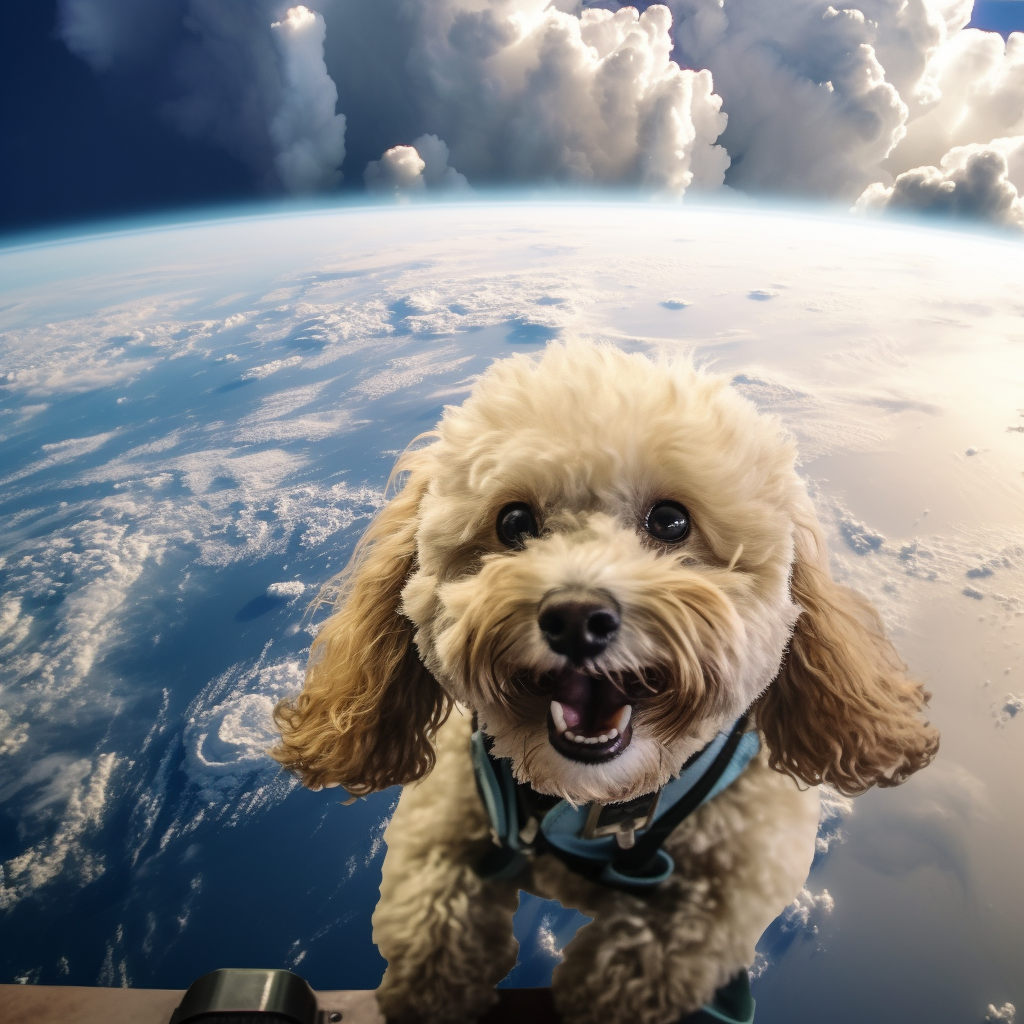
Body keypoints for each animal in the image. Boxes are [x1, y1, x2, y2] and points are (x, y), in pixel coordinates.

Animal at [270, 342, 937, 1024]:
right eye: (514, 522)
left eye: (671, 521)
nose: (576, 618)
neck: (593, 802)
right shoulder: (448, 809)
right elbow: (432, 912)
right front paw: (432, 989)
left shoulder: (745, 862)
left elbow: (662, 948)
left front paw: (600, 988)